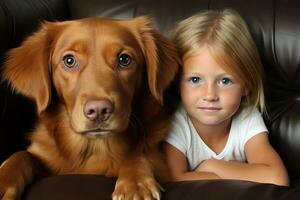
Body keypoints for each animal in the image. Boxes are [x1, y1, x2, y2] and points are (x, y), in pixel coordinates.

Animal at [0, 16, 178, 200]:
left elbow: (137, 155)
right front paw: (3, 182)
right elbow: (20, 155)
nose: (99, 111)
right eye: (69, 61)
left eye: (124, 60)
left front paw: (136, 184)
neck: (92, 148)